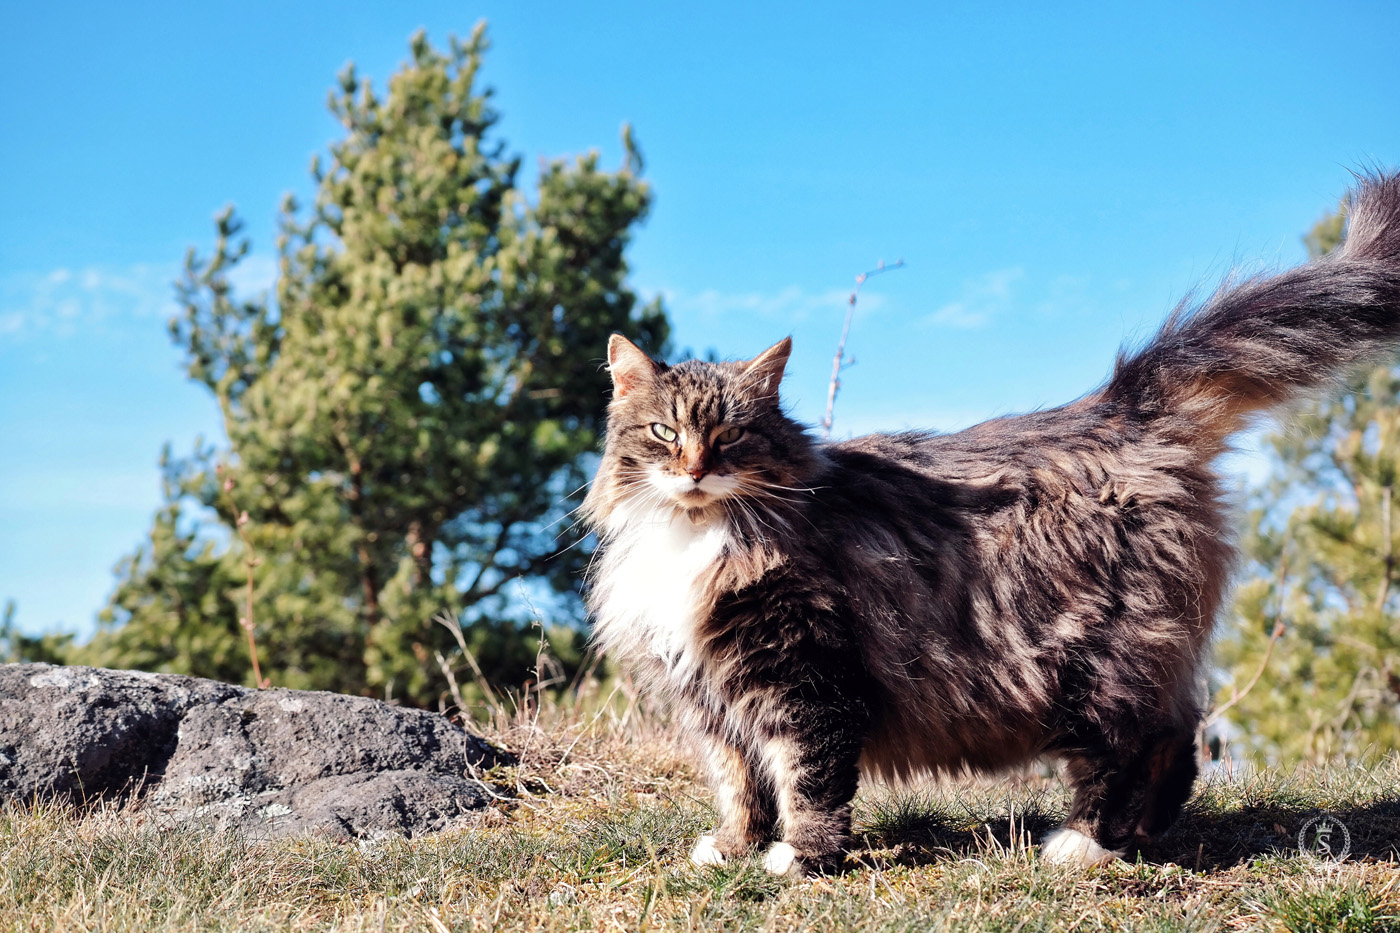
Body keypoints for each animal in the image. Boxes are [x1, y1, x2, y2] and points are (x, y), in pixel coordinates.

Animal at [579, 168, 1400, 874]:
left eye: (731, 436)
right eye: (664, 432)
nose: (694, 469)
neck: (700, 536)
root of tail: (1118, 408)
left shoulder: (803, 673)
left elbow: (807, 774)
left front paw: (800, 857)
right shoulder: (710, 695)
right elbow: (739, 780)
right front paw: (734, 845)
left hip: (1092, 662)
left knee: (1141, 742)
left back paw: (1084, 843)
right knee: (1180, 736)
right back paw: (1132, 835)